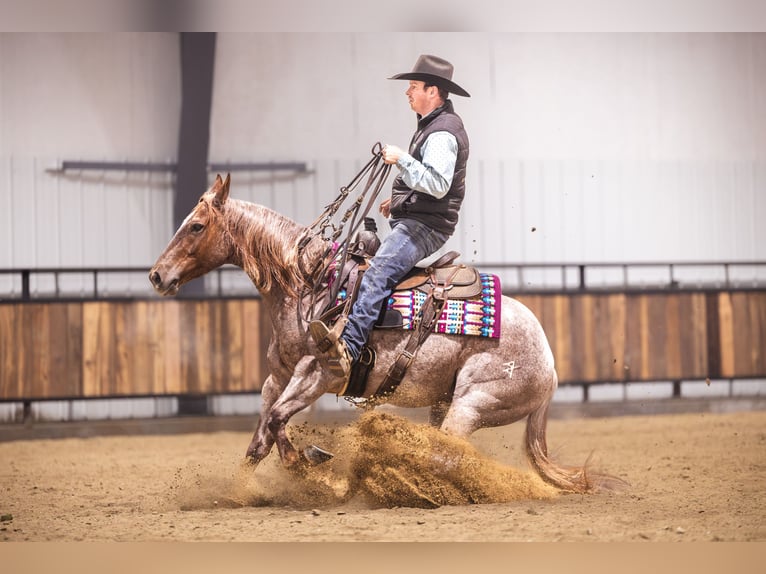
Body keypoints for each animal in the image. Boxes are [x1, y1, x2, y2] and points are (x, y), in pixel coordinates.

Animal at [149, 174, 621, 493]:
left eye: (196, 225)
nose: (156, 275)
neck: (310, 283)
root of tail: (551, 368)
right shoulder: (277, 378)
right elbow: (261, 437)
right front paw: (238, 494)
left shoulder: (319, 373)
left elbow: (279, 421)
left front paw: (311, 463)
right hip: (445, 403)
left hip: (473, 403)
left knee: (446, 454)